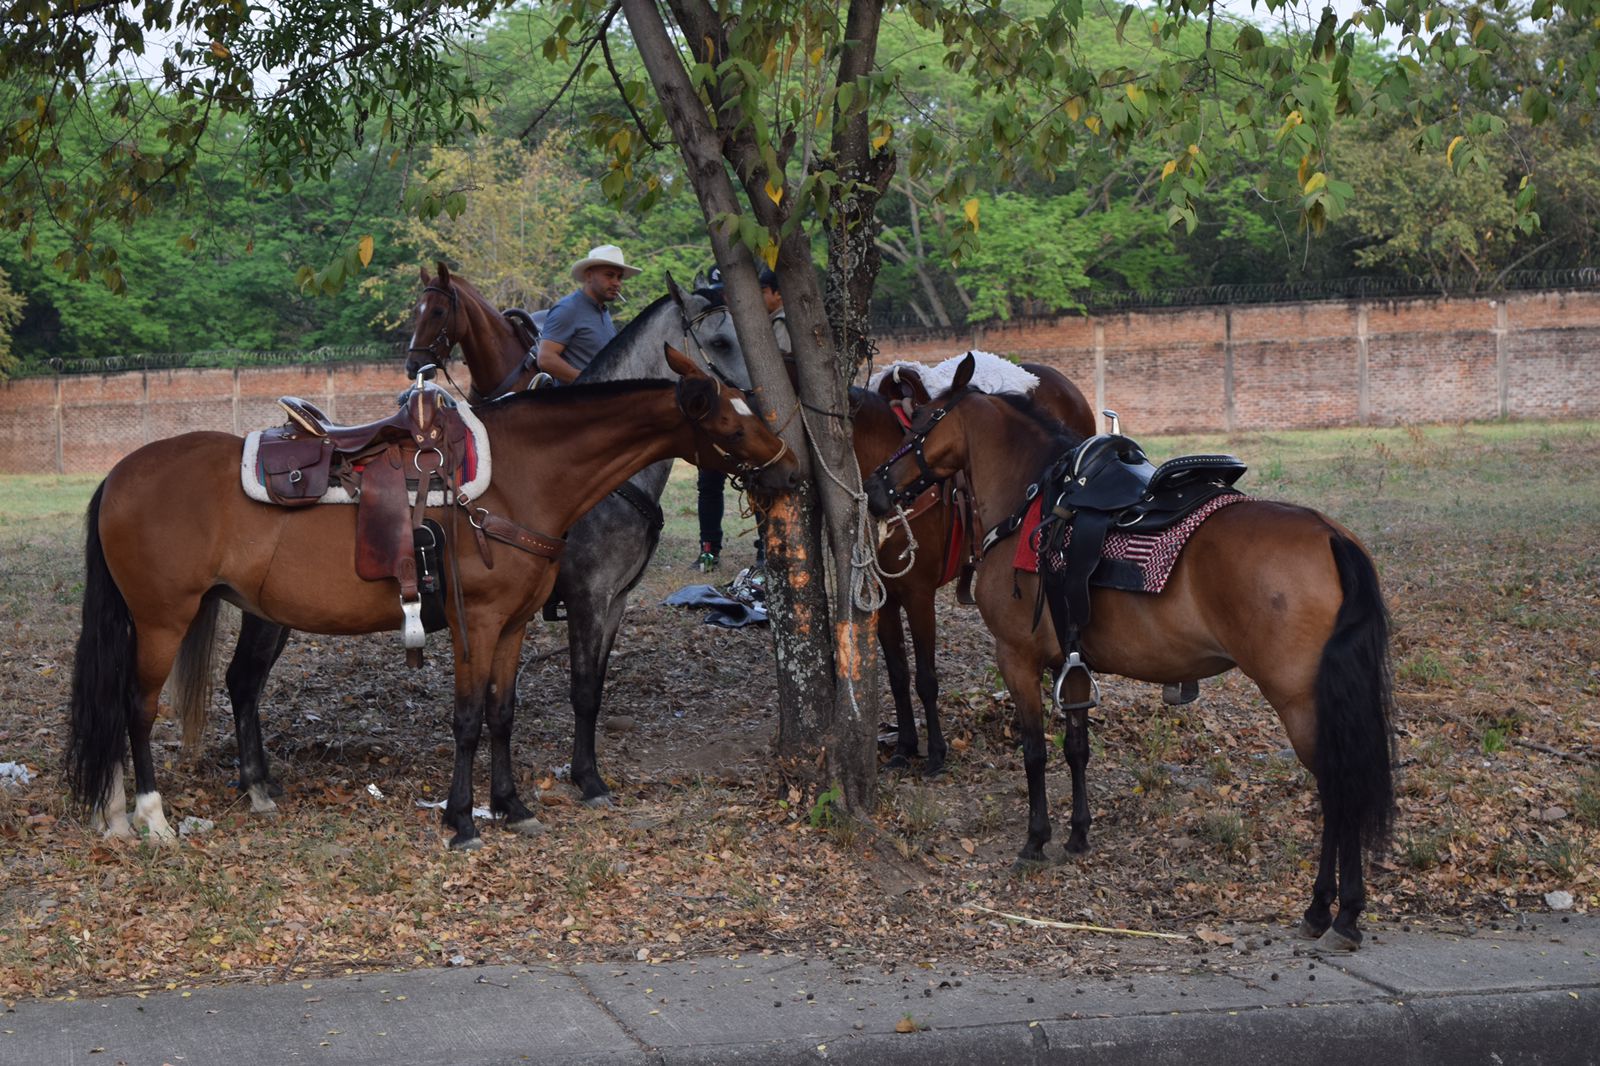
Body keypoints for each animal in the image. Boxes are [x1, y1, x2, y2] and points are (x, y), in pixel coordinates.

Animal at [67, 352, 793, 851]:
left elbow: (502, 714)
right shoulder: (486, 620)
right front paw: (462, 819)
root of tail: (120, 475)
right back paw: (149, 816)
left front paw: (513, 807)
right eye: (731, 423)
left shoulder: (516, 625)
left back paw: (155, 807)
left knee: (214, 688)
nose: (790, 467)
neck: (522, 477)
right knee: (136, 706)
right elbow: (469, 718)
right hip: (162, 618)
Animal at [857, 356, 1094, 771]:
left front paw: (935, 752)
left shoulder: (919, 595)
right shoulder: (885, 599)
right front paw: (904, 746)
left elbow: (926, 678)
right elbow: (898, 675)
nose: (874, 490)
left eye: (919, 425)